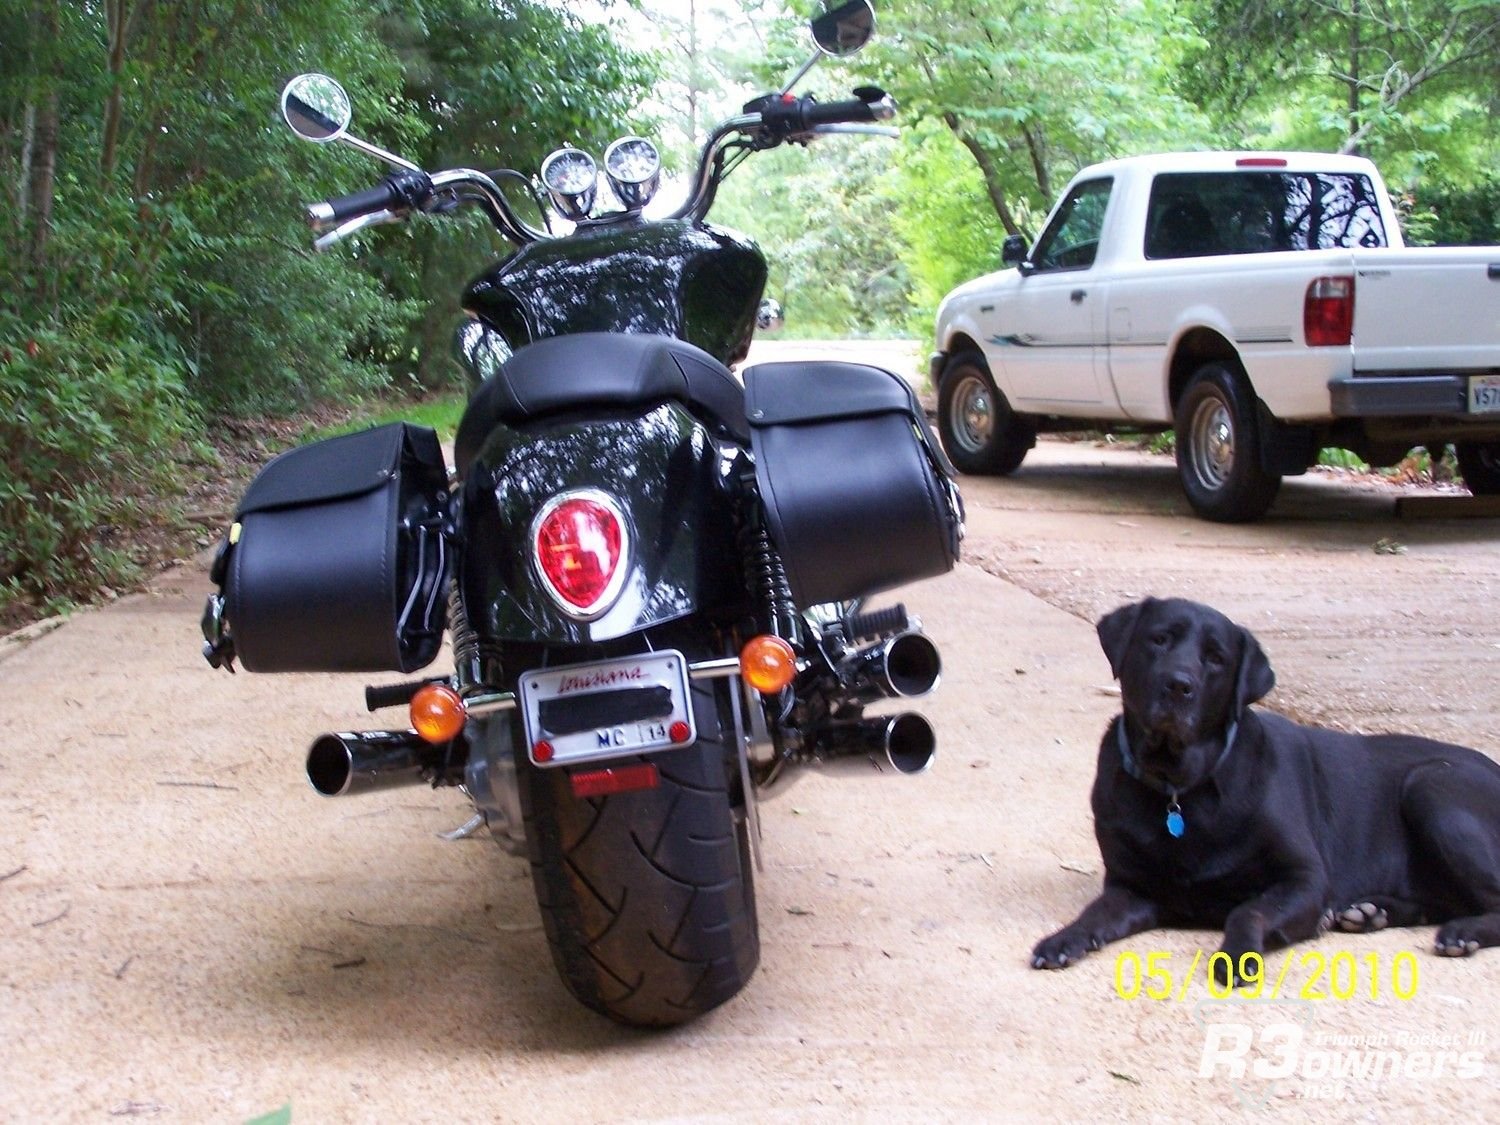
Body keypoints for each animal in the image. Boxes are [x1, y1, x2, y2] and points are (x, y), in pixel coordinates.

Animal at [1032, 594, 1500, 984]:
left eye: (1216, 658)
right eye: (1159, 639)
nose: (1178, 685)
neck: (1178, 786)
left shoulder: (1305, 878)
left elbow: (1248, 910)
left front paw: (1237, 955)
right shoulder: (1132, 888)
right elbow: (1095, 913)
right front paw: (1063, 940)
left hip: (1432, 785)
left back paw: (1460, 932)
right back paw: (1372, 912)